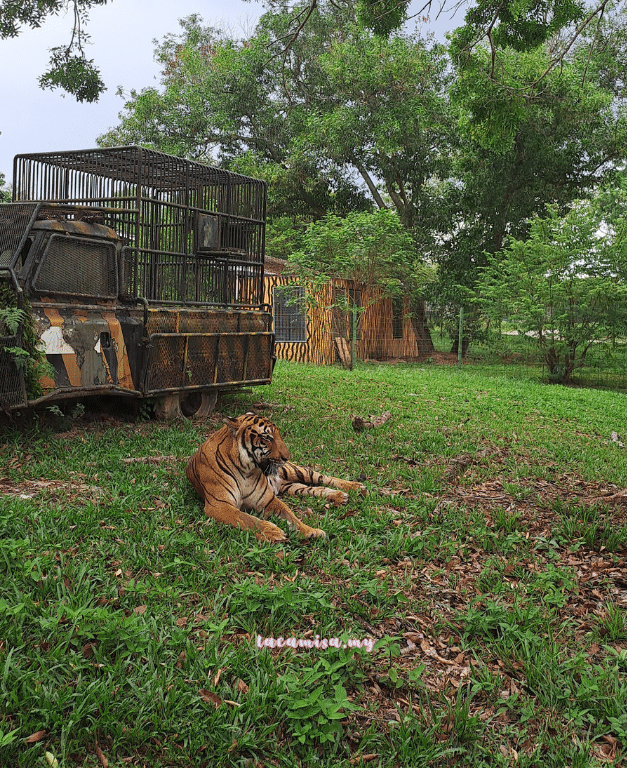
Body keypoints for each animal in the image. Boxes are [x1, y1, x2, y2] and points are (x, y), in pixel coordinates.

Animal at [185, 412, 364, 544]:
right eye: (267, 437)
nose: (286, 457)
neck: (246, 469)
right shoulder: (219, 505)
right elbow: (247, 519)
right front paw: (274, 531)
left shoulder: (267, 499)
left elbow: (292, 516)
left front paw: (310, 531)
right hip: (292, 487)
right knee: (316, 488)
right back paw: (340, 496)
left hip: (295, 471)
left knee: (321, 477)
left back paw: (355, 487)